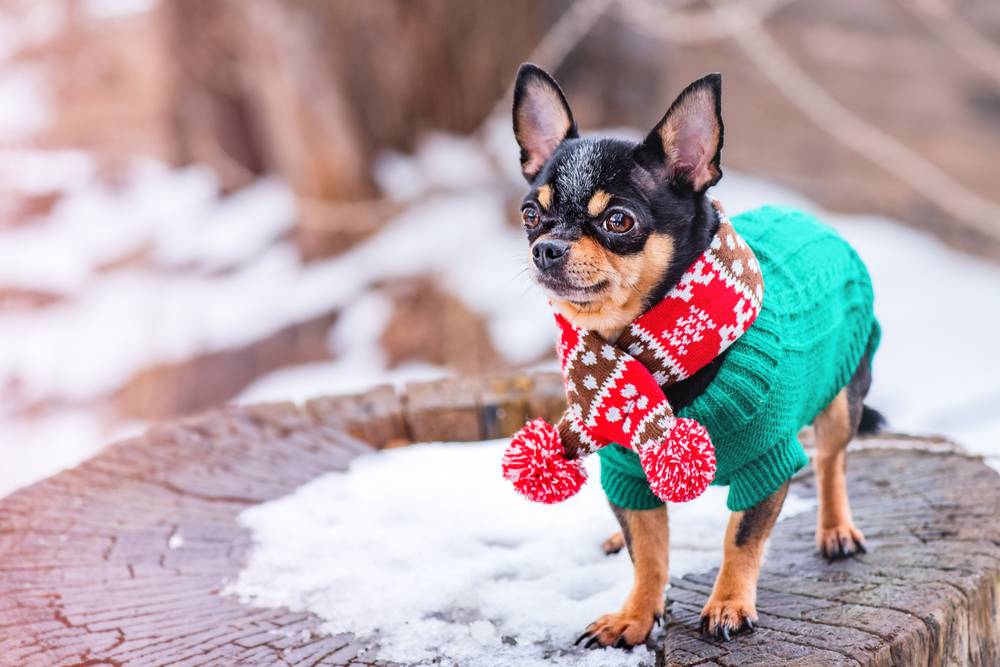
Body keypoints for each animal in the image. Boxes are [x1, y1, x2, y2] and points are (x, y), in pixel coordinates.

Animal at [512, 62, 880, 648]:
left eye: (618, 221)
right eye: (530, 214)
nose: (545, 248)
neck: (655, 344)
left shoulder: (766, 461)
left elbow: (741, 538)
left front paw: (729, 604)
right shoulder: (627, 470)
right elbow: (649, 552)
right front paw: (635, 616)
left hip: (844, 397)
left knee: (831, 461)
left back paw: (836, 528)